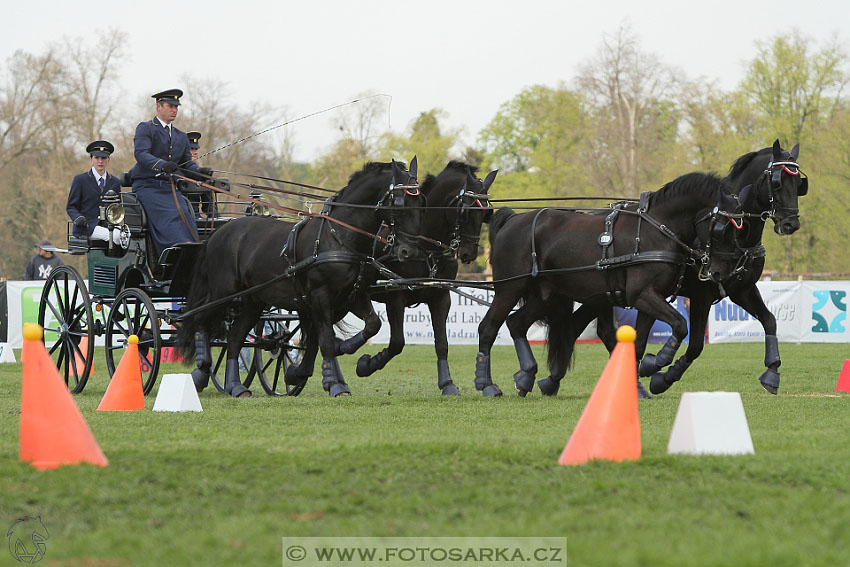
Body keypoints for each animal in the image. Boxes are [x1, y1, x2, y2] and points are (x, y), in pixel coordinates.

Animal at [176, 160, 424, 400]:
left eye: (421, 201)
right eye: (400, 203)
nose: (408, 250)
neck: (338, 237)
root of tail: (218, 232)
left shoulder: (352, 295)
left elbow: (371, 324)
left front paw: (338, 354)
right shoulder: (320, 295)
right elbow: (325, 338)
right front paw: (334, 383)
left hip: (253, 301)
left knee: (235, 337)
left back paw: (236, 386)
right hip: (224, 293)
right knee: (200, 319)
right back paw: (201, 371)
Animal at [352, 162, 496, 394]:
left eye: (486, 213)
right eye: (465, 212)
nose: (469, 254)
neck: (426, 249)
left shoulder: (441, 296)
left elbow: (442, 343)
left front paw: (447, 383)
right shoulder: (395, 296)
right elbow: (397, 342)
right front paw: (366, 365)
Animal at [476, 173, 744, 400]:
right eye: (723, 229)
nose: (721, 272)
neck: (655, 230)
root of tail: (512, 219)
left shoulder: (650, 297)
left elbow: (639, 344)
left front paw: (643, 377)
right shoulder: (641, 295)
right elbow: (679, 324)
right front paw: (658, 362)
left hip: (546, 295)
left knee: (516, 323)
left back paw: (527, 376)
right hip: (510, 289)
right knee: (488, 327)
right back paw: (487, 384)